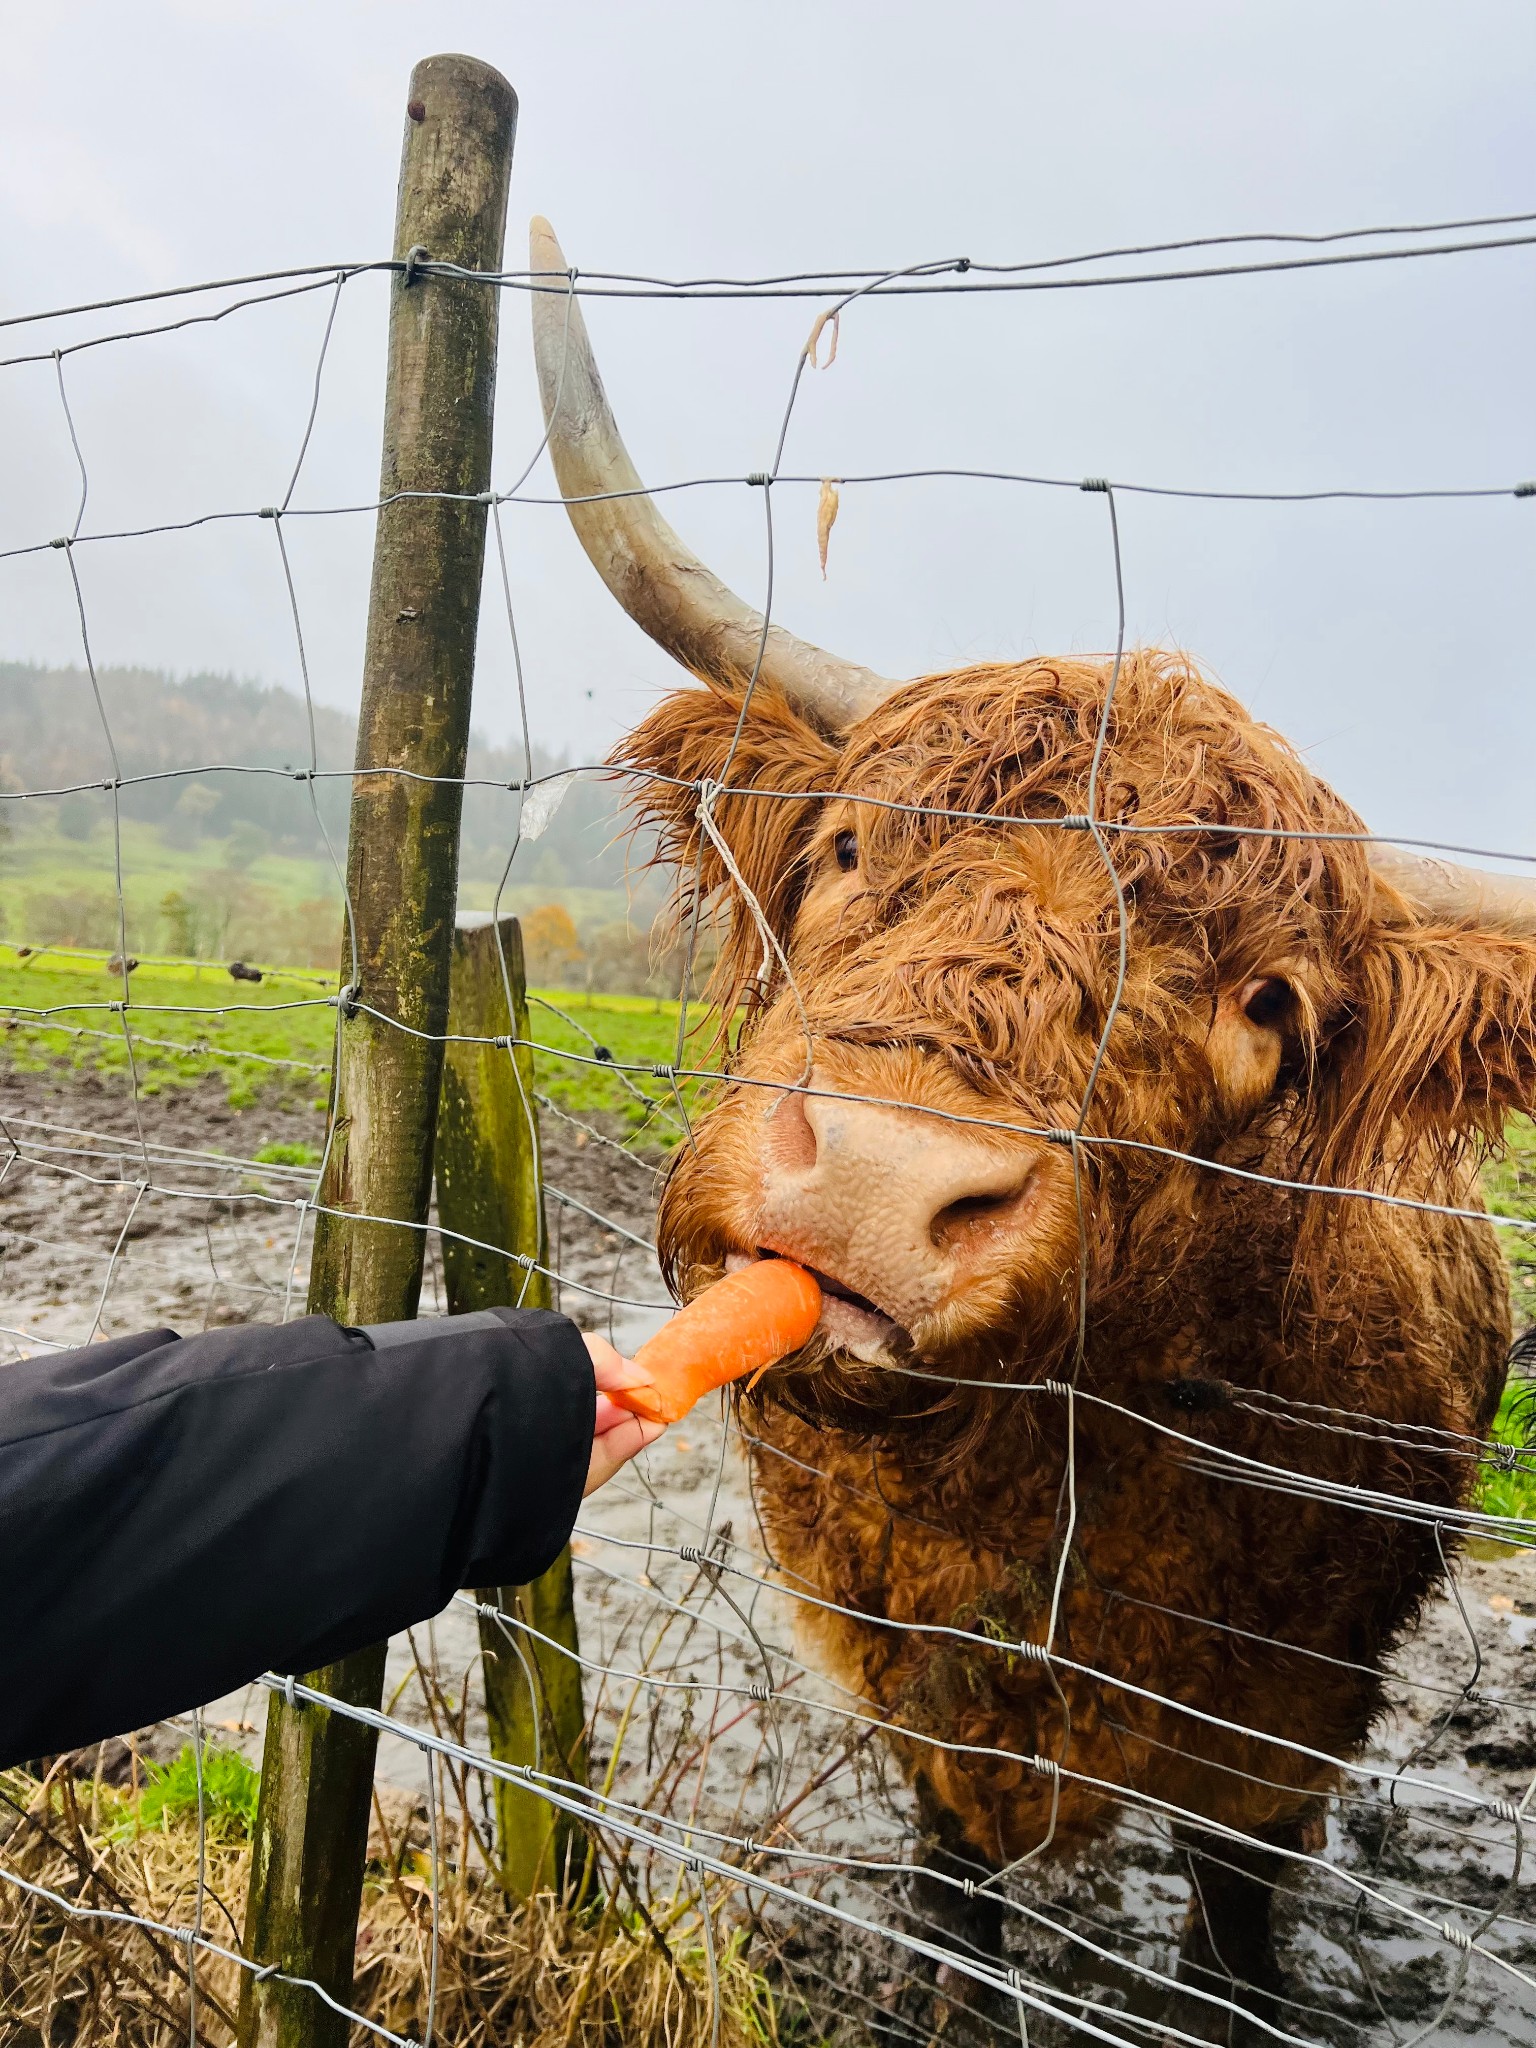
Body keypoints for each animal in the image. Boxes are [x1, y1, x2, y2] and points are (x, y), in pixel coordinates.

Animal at [528, 220, 1531, 2015]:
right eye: (848, 843)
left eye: (1268, 1008)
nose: (872, 1176)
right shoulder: (905, 1671)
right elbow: (953, 1872)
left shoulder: (1285, 1718)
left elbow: (1236, 1913)